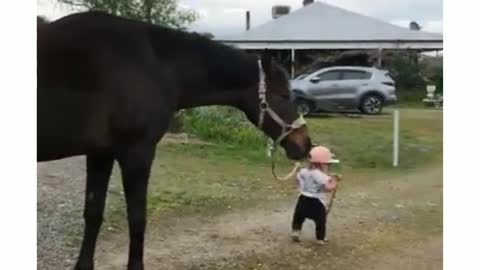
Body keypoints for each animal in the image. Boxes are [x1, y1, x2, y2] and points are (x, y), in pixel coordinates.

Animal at [38, 12, 312, 270]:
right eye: (283, 94)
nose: (305, 144)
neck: (154, 64)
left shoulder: (100, 153)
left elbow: (93, 212)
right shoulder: (137, 152)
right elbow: (137, 218)